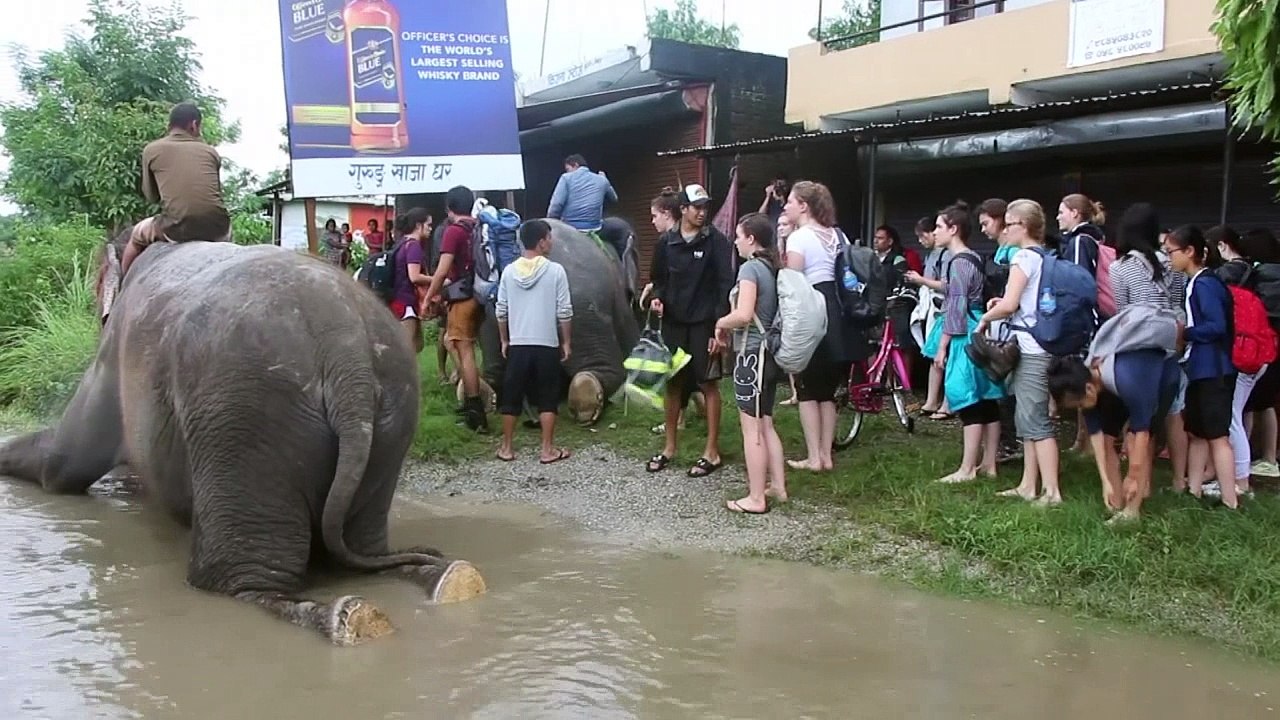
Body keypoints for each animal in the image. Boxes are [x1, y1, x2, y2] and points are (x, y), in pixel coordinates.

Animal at [0, 230, 487, 646]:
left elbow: (63, 466)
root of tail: (346, 351)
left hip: (245, 417)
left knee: (233, 584)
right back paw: (448, 577)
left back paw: (344, 617)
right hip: (391, 412)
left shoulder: (110, 355)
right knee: (367, 553)